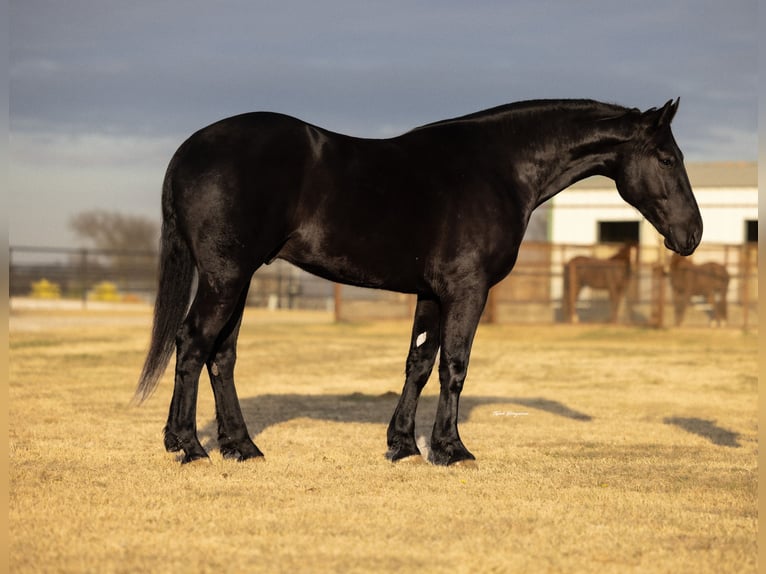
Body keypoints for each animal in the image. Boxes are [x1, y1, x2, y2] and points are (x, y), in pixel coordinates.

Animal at [134, 98, 702, 466]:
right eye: (668, 158)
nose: (692, 234)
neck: (498, 168)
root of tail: (189, 151)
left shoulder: (431, 292)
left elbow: (419, 363)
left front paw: (403, 445)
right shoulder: (467, 289)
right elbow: (455, 366)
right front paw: (452, 450)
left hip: (240, 278)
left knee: (221, 356)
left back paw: (242, 447)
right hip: (226, 277)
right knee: (192, 344)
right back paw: (188, 446)